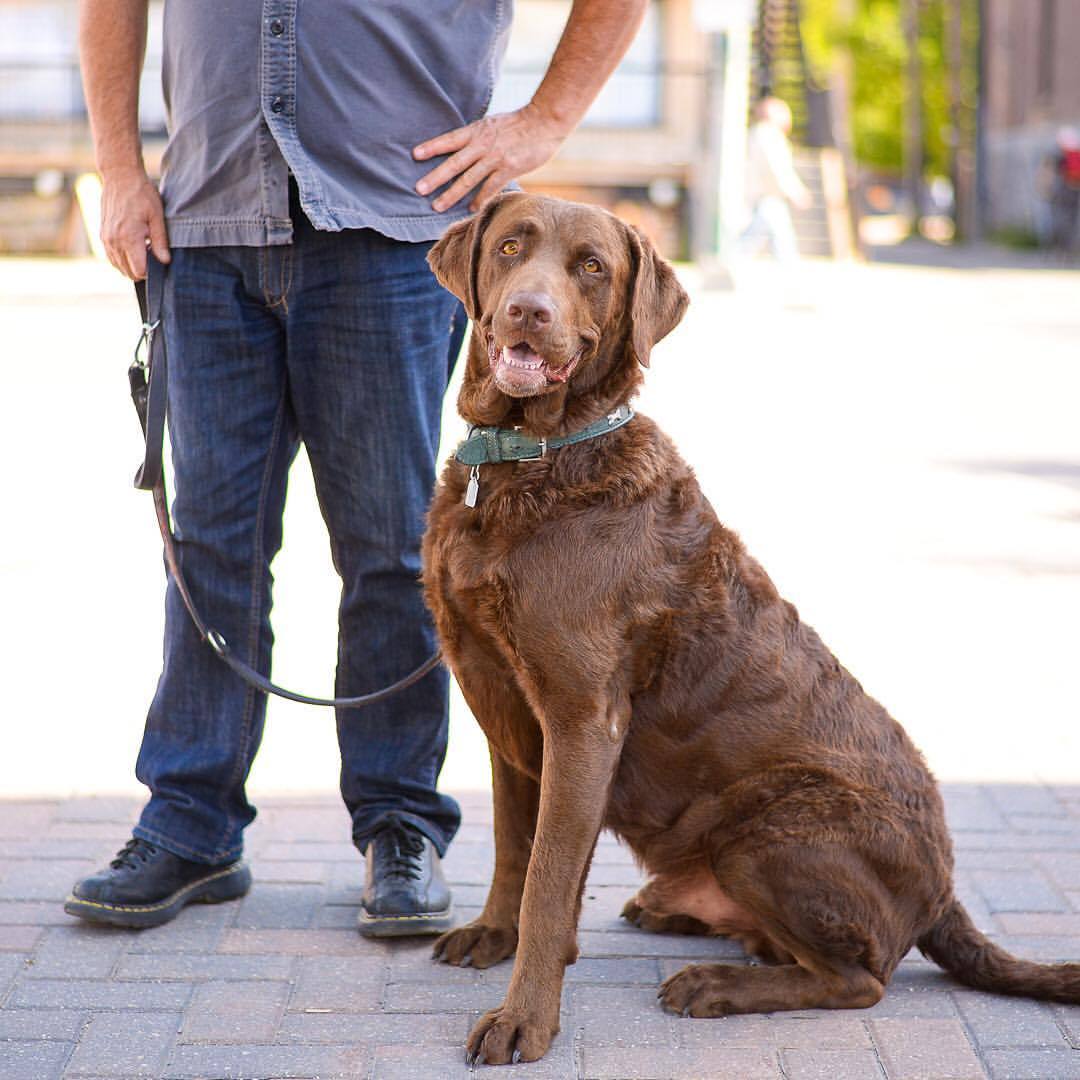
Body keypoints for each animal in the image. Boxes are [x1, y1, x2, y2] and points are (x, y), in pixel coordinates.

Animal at [419, 192, 1080, 1062]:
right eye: (508, 247)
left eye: (591, 266)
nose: (529, 310)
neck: (533, 456)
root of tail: (945, 893)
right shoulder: (504, 708)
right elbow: (510, 846)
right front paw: (492, 935)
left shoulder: (582, 719)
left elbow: (549, 882)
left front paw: (523, 1018)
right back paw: (677, 914)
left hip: (766, 826)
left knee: (859, 978)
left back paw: (714, 984)